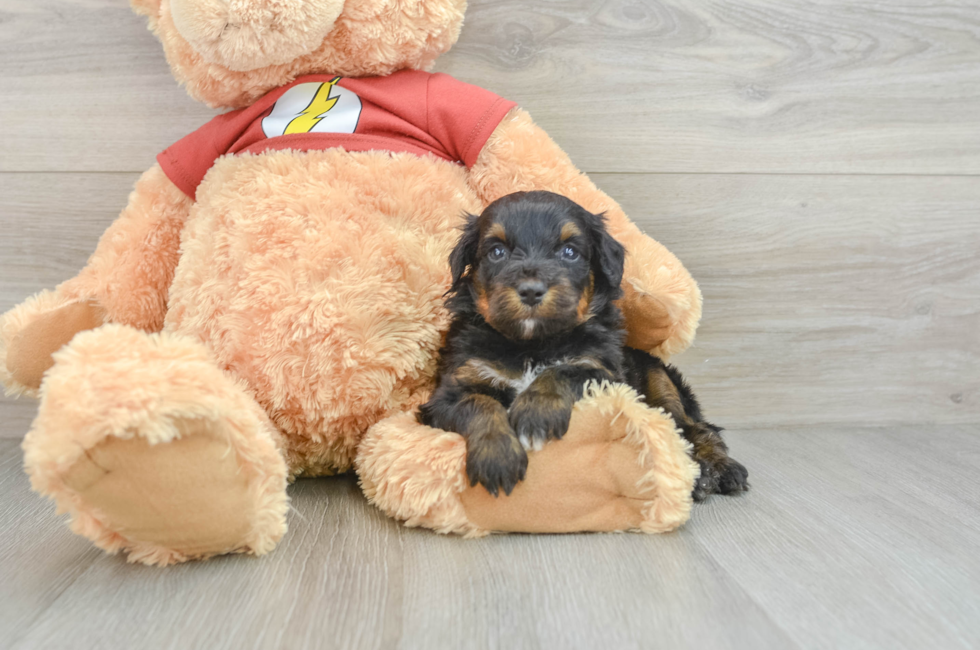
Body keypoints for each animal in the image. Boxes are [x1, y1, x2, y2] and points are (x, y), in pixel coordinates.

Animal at [418, 190, 748, 498]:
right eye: (497, 251)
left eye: (570, 251)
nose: (531, 291)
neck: (532, 344)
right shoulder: (451, 389)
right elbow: (478, 403)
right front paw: (497, 458)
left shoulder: (606, 374)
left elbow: (564, 370)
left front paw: (536, 415)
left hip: (660, 383)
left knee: (693, 427)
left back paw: (718, 470)